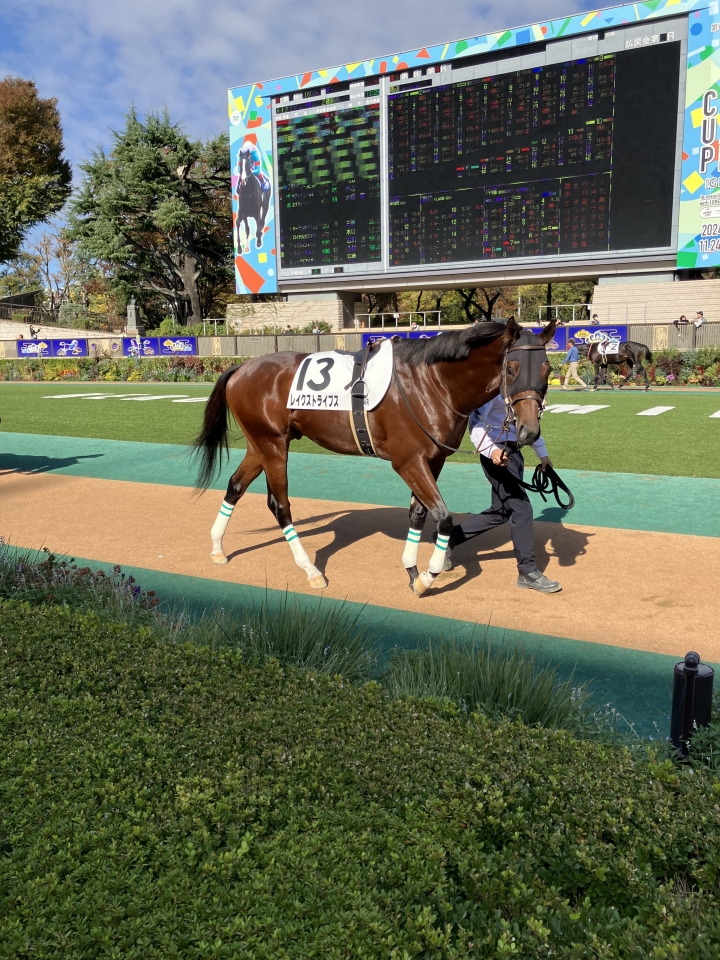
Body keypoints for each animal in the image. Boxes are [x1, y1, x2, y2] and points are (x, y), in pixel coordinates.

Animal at [193, 317, 556, 597]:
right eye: (512, 368)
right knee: (279, 505)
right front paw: (427, 576)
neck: (433, 384)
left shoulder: (433, 460)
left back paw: (217, 548)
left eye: (547, 368)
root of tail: (242, 367)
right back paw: (311, 570)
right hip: (273, 445)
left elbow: (418, 514)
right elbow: (442, 517)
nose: (529, 431)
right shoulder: (408, 461)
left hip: (260, 445)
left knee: (235, 486)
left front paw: (412, 571)